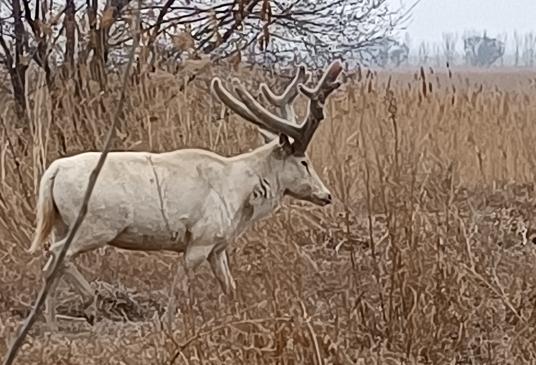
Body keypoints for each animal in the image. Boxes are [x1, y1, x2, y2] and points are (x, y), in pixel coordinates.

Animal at [28, 60, 344, 330]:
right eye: (304, 162)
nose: (326, 195)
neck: (237, 195)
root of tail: (53, 171)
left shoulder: (218, 244)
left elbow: (229, 286)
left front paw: (239, 318)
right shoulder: (201, 238)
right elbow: (180, 284)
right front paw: (166, 325)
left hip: (61, 222)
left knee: (51, 260)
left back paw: (52, 324)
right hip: (97, 223)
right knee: (57, 255)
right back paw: (89, 306)